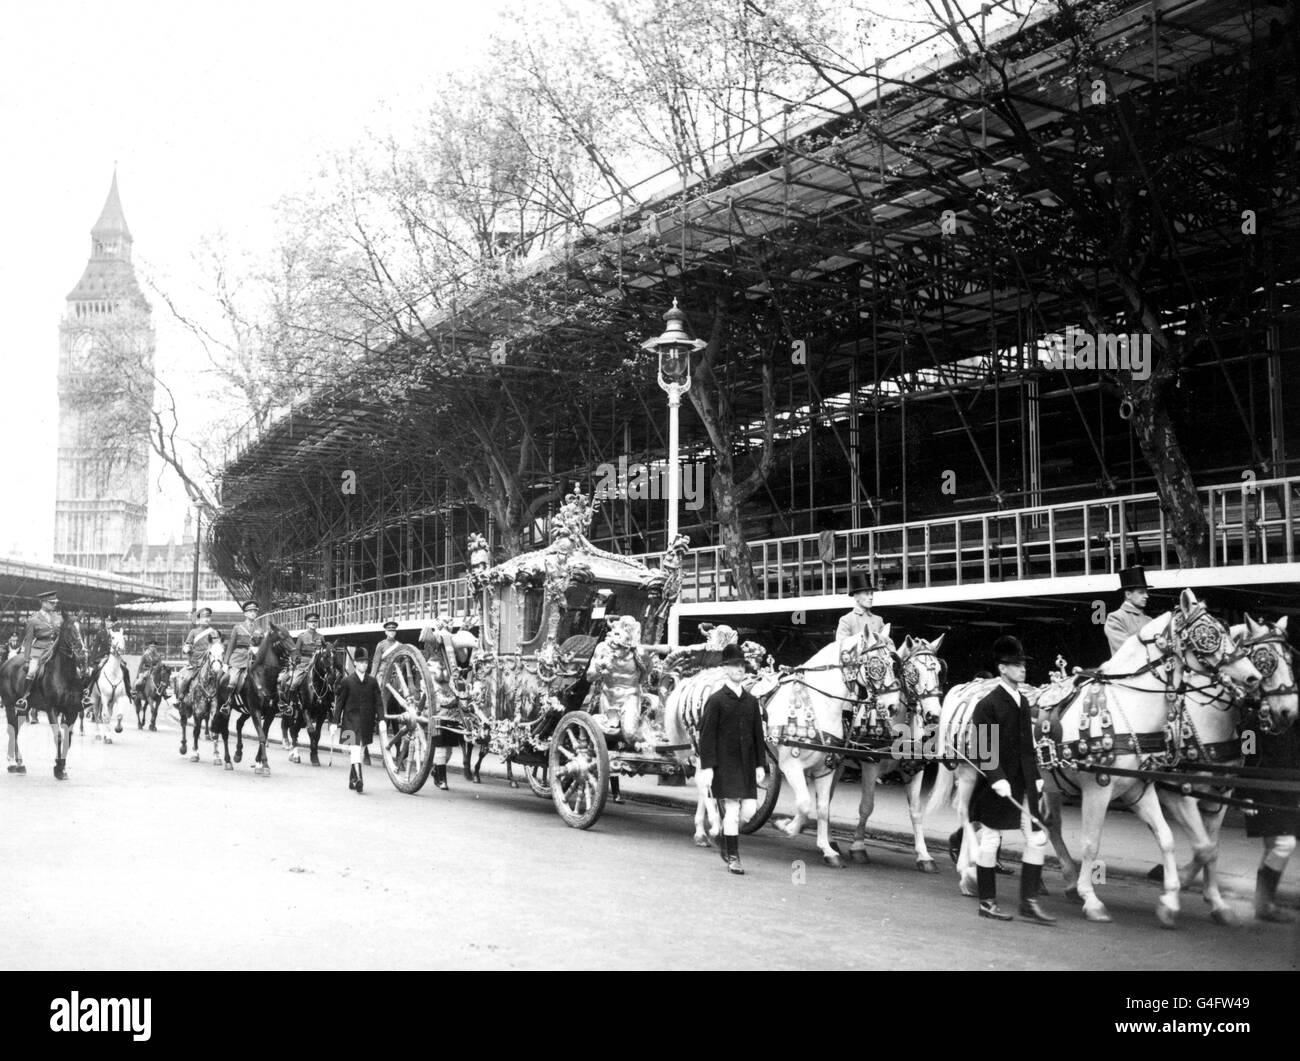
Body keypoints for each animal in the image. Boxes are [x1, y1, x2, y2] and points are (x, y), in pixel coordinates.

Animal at [764, 626, 899, 868]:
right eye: (875, 664)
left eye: (892, 663)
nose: (893, 706)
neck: (817, 703)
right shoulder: (790, 765)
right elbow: (805, 804)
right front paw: (787, 826)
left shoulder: (825, 768)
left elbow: (822, 808)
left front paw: (827, 849)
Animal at [842, 637, 946, 868]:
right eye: (912, 672)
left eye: (938, 670)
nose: (934, 715)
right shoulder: (870, 766)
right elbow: (866, 806)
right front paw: (858, 846)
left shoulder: (913, 770)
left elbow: (916, 811)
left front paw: (924, 855)